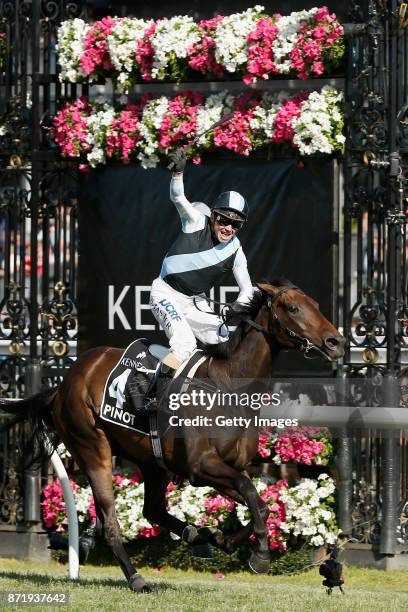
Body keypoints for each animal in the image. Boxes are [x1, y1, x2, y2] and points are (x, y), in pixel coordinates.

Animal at [0, 282, 344, 592]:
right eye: (293, 308)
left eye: (316, 304)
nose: (336, 341)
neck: (227, 387)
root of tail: (65, 381)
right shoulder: (200, 467)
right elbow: (252, 496)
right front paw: (259, 555)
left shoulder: (229, 467)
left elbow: (260, 503)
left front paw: (224, 539)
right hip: (92, 449)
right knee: (110, 524)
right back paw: (137, 578)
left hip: (153, 462)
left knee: (151, 509)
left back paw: (197, 536)